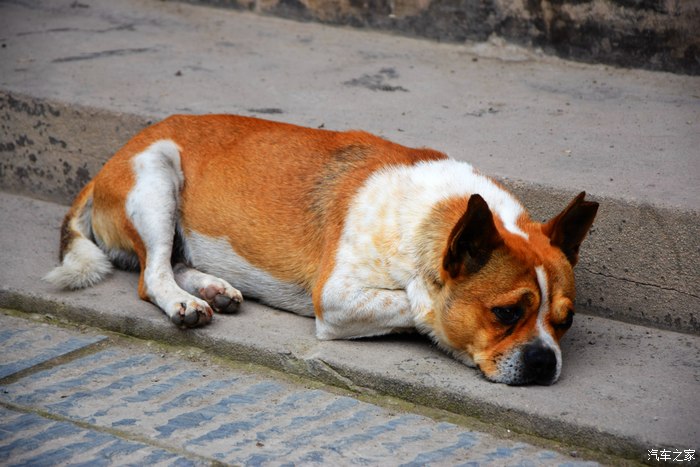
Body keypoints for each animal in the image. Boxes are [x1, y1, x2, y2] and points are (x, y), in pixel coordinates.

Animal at [46, 115, 598, 385]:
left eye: (565, 321)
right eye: (505, 313)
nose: (545, 363)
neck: (435, 216)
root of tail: (108, 161)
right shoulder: (336, 298)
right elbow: (419, 306)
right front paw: (435, 312)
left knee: (176, 261)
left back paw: (214, 288)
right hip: (156, 178)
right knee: (154, 273)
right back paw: (186, 302)